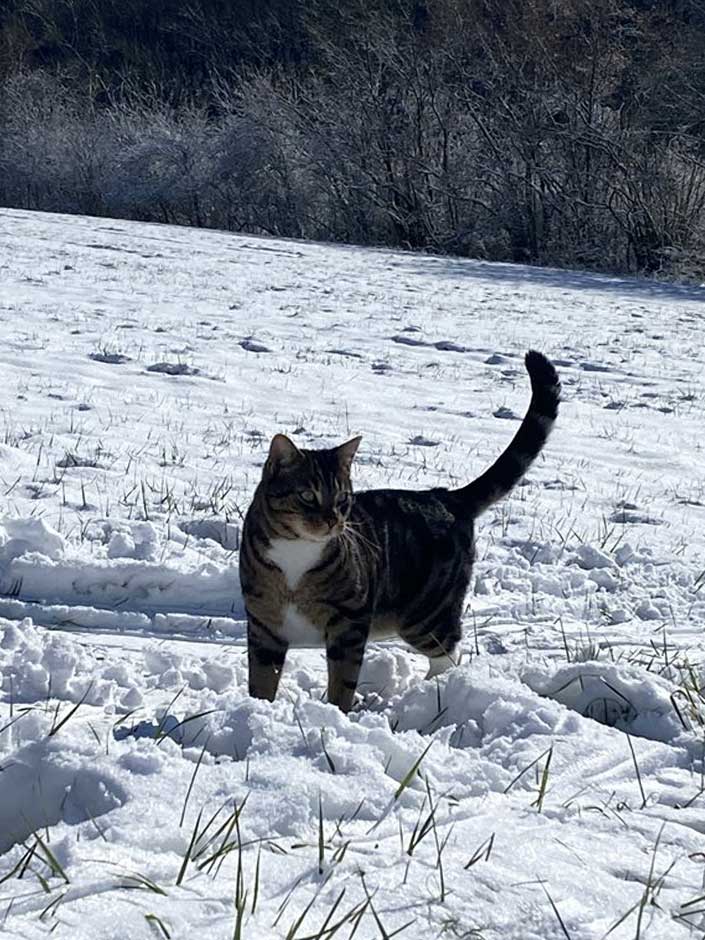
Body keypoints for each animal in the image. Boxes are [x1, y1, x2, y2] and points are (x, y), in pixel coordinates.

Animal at [239, 348, 560, 708]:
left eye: (342, 498)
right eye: (308, 495)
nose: (333, 520)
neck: (296, 553)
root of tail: (445, 497)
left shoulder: (350, 622)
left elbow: (343, 681)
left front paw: (337, 711)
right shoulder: (264, 622)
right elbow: (262, 678)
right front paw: (257, 708)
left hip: (427, 611)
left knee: (448, 651)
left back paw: (432, 692)